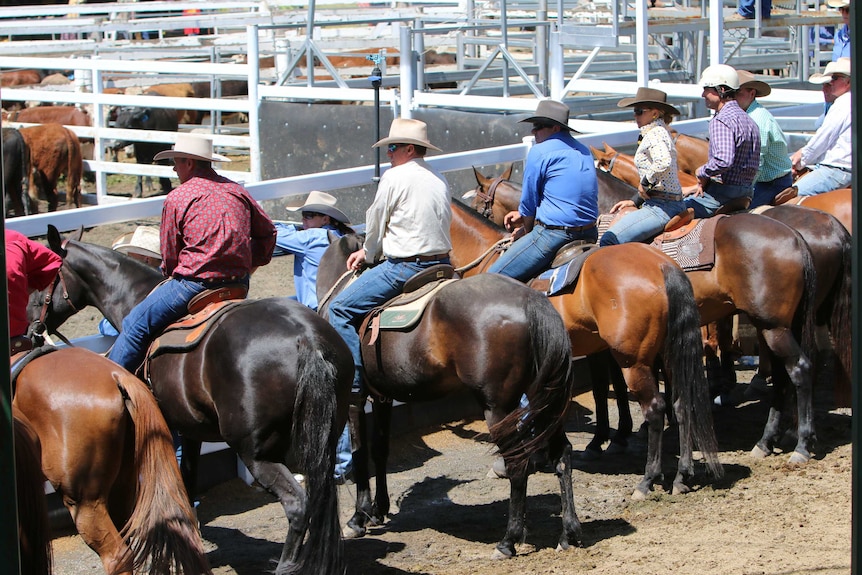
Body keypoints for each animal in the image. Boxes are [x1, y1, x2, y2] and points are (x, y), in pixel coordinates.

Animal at [448, 198, 724, 500]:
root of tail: (662, 266)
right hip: (669, 352)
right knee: (682, 402)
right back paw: (682, 476)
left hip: (633, 361)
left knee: (655, 409)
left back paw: (647, 480)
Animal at [462, 169, 820, 466]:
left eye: (481, 203)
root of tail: (794, 237)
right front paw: (619, 434)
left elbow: (608, 388)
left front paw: (607, 438)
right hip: (772, 324)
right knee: (782, 376)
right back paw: (768, 439)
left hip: (772, 325)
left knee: (799, 370)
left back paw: (799, 445)